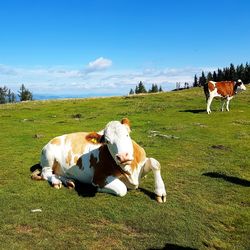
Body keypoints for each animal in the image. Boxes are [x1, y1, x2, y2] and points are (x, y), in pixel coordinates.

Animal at [31, 118, 168, 202]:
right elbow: (122, 189)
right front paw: (100, 189)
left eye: (127, 135)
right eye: (107, 141)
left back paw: (68, 181)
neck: (130, 171)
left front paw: (160, 192)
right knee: (46, 173)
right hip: (49, 155)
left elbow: (155, 163)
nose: (123, 156)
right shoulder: (99, 177)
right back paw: (56, 181)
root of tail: (54, 139)